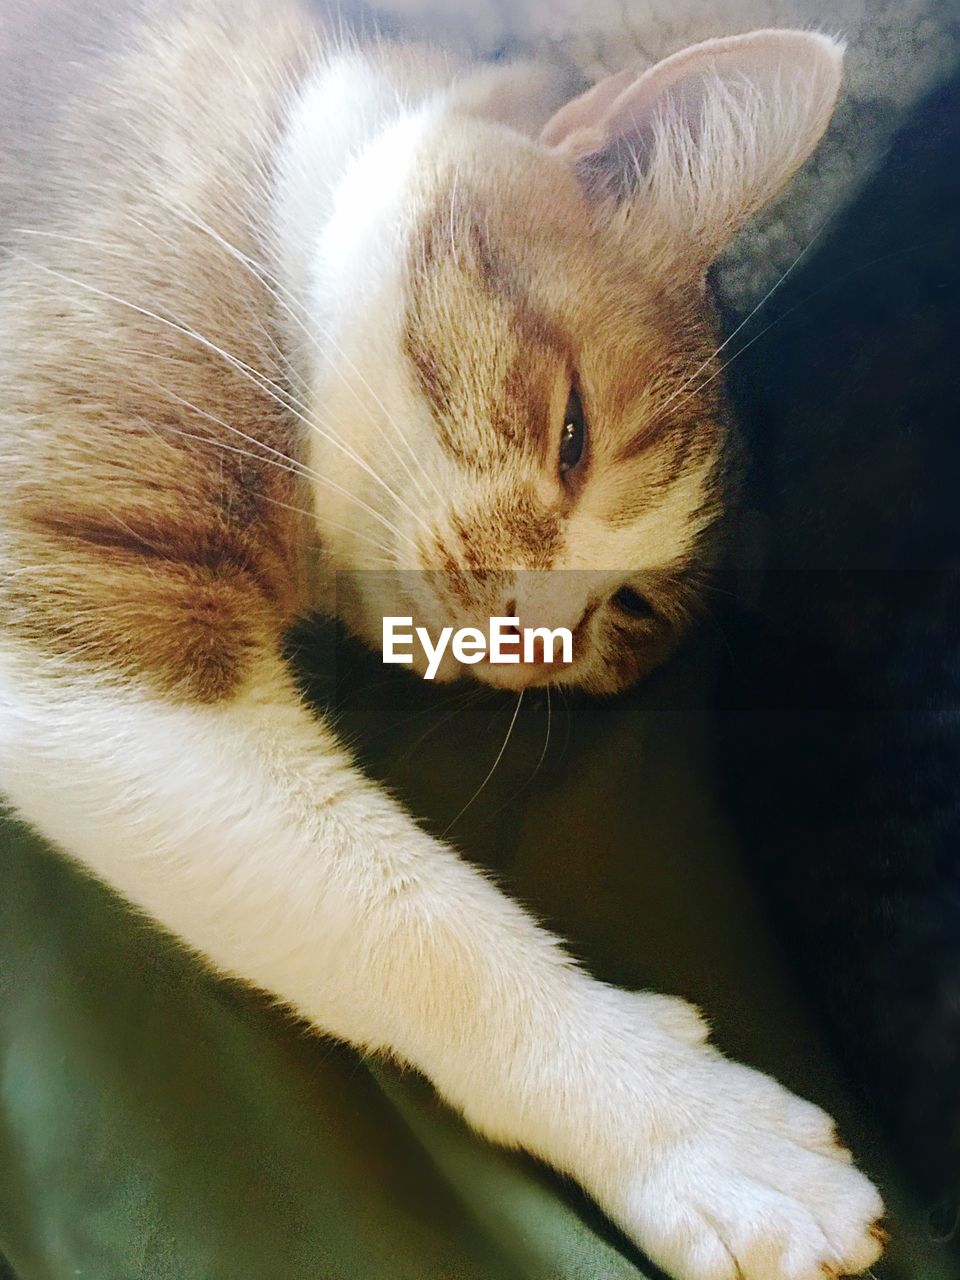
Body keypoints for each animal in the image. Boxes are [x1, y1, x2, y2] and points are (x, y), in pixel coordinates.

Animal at [0, 2, 885, 1280]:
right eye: (573, 436)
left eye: (627, 609)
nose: (532, 635)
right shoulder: (76, 592)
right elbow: (414, 929)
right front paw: (687, 1122)